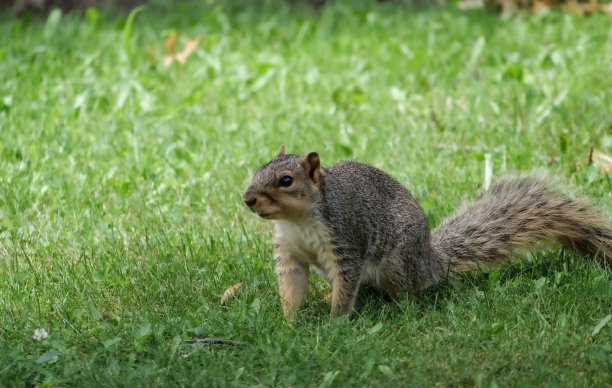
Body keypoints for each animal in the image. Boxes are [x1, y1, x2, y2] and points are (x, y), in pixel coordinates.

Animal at [243, 147, 612, 320]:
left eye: (286, 180)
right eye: (258, 170)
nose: (247, 198)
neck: (299, 220)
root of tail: (429, 260)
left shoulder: (346, 240)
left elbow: (346, 285)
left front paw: (335, 323)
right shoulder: (289, 253)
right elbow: (291, 287)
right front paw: (288, 324)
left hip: (397, 262)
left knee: (411, 296)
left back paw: (396, 309)